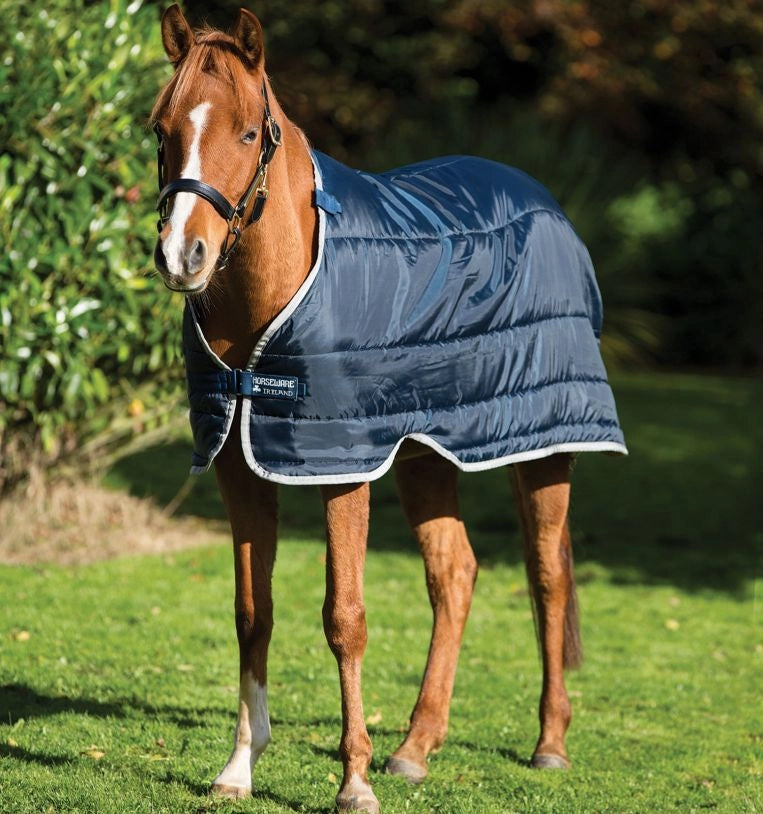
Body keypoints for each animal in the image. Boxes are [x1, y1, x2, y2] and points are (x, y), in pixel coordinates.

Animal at [150, 6, 626, 812]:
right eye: (161, 130)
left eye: (246, 134)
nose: (184, 255)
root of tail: (543, 201)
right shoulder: (240, 468)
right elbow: (253, 614)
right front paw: (239, 768)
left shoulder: (342, 469)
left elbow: (344, 619)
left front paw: (353, 782)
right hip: (425, 455)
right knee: (454, 575)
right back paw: (415, 748)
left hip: (543, 447)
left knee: (546, 577)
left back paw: (549, 744)